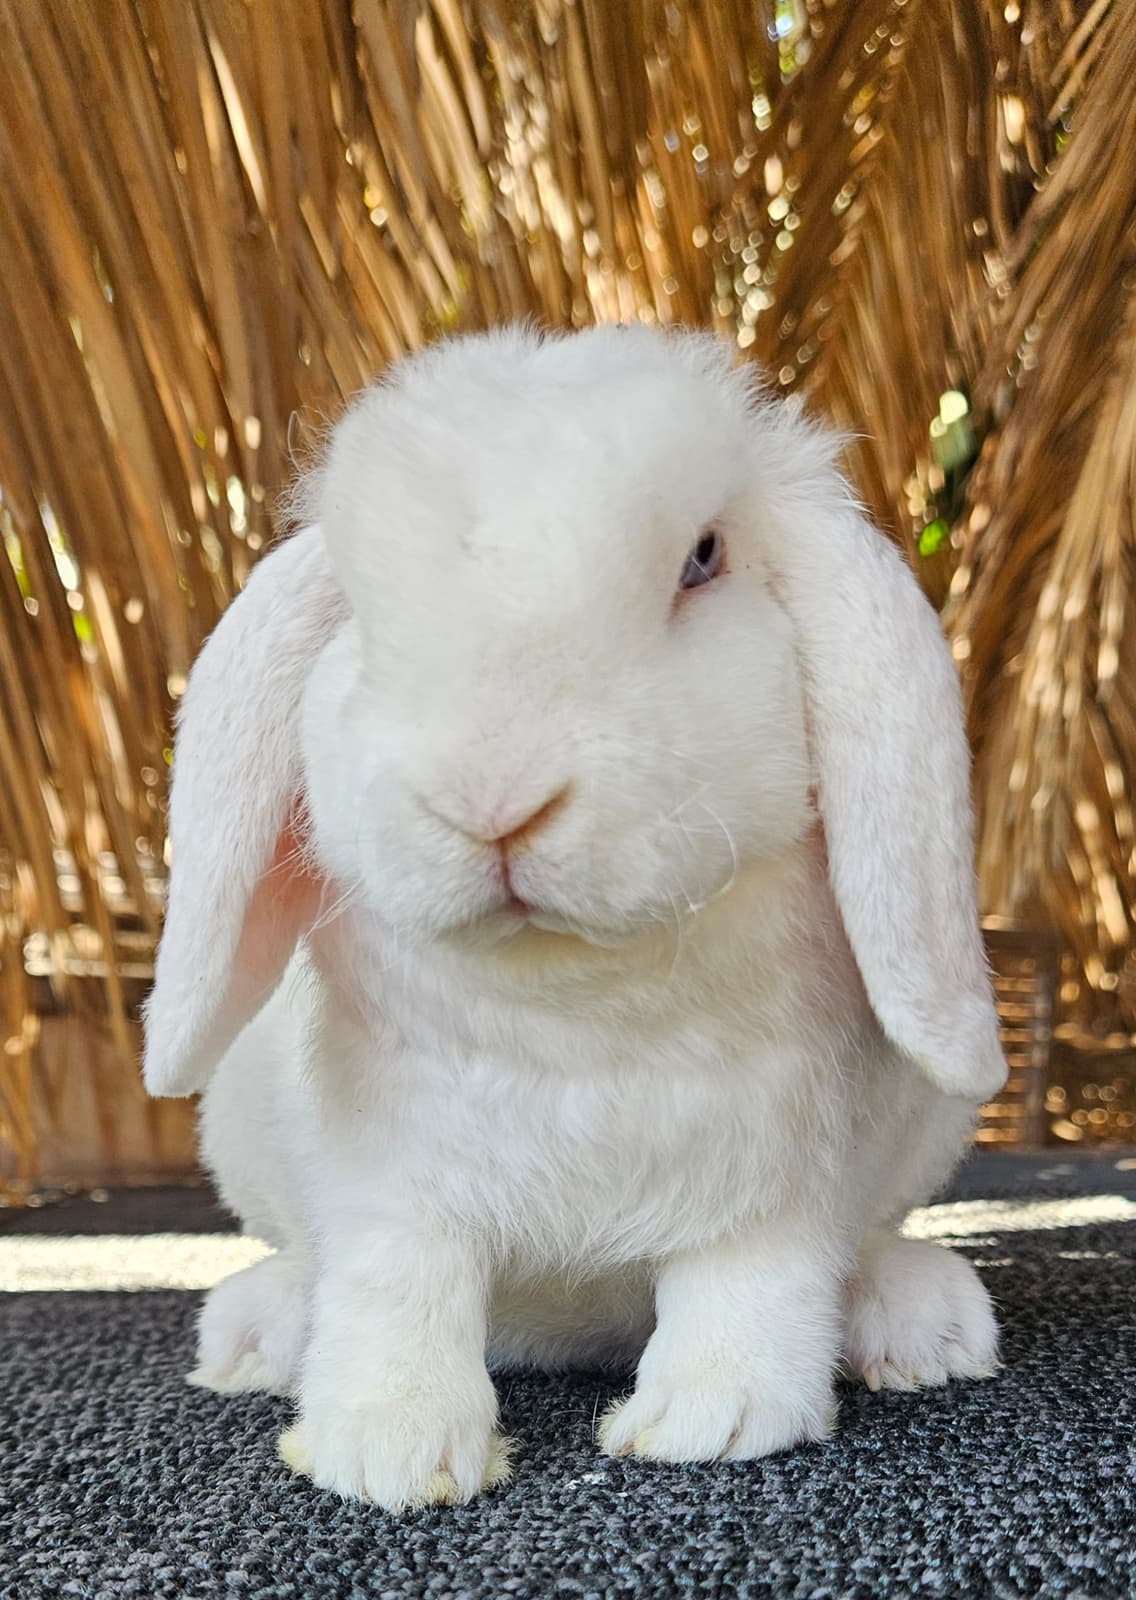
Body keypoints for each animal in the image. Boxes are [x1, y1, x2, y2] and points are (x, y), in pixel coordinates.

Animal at [143, 323, 1006, 1511]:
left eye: (702, 559)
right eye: (359, 611)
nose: (489, 798)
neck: (572, 998)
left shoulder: (773, 1171)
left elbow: (750, 1282)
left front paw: (709, 1421)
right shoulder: (392, 1178)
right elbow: (394, 1288)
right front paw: (388, 1449)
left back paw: (921, 1323)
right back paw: (257, 1334)